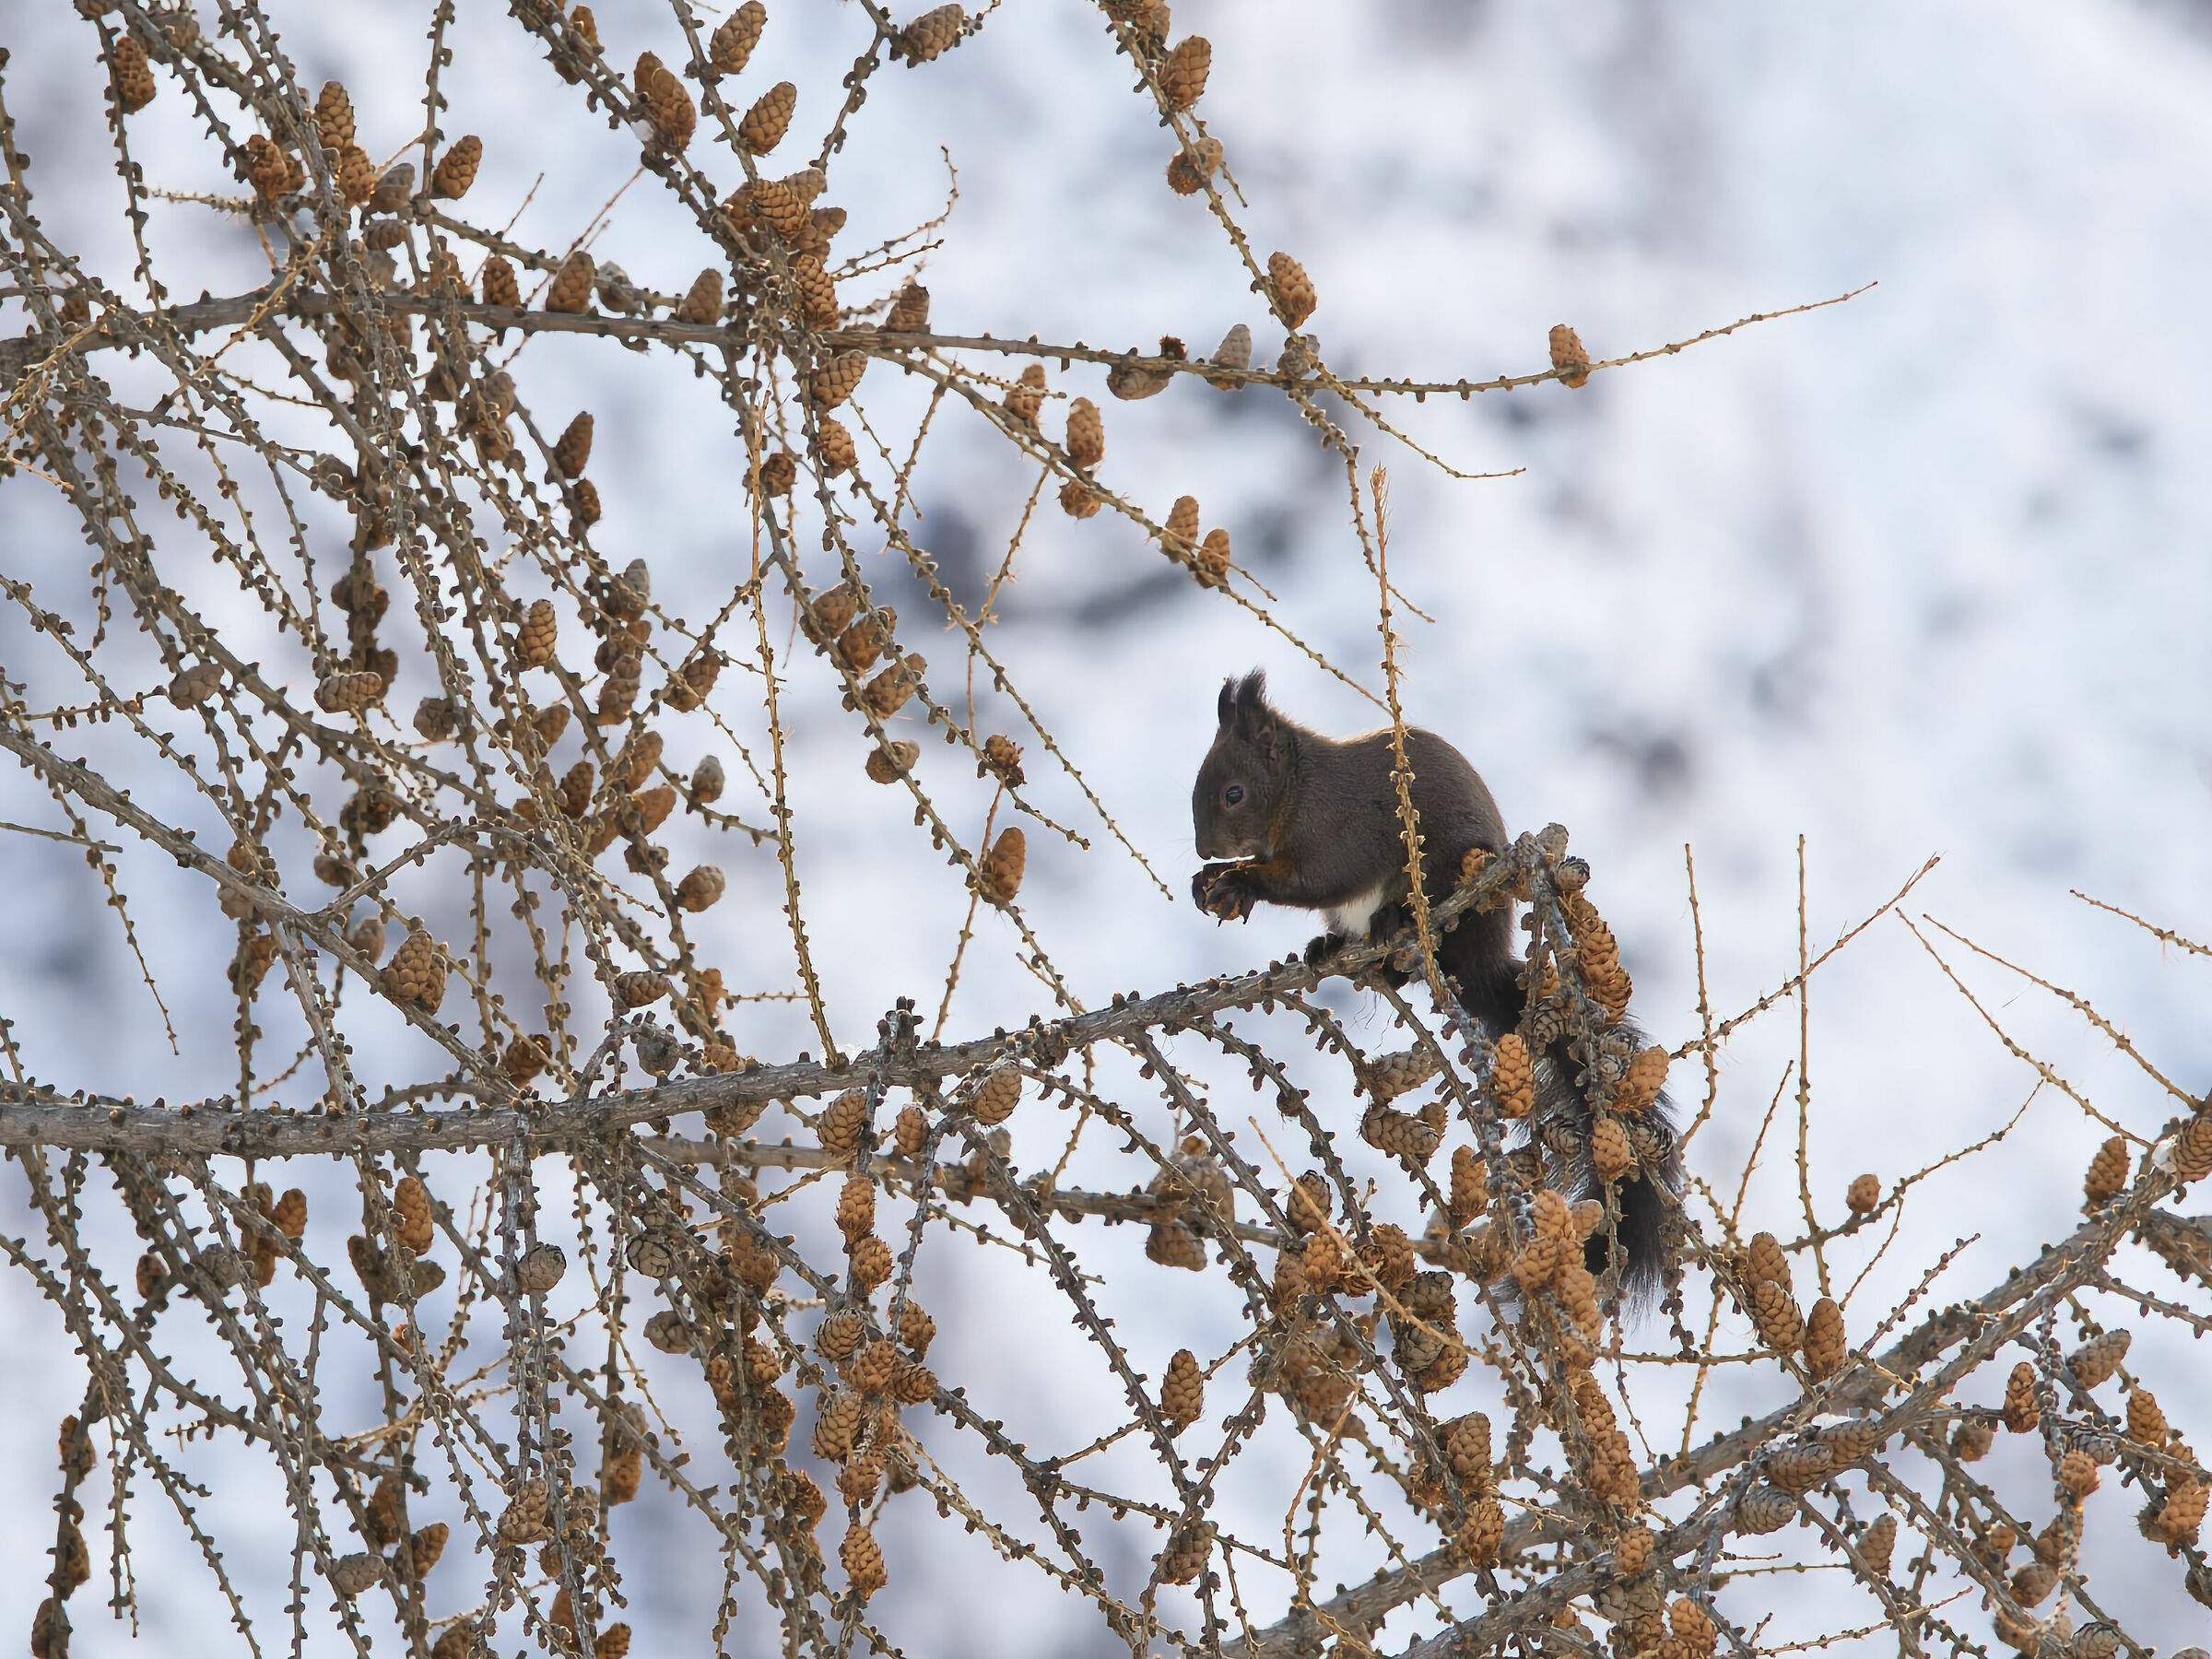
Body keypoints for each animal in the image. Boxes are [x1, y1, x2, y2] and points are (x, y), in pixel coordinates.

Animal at [1190, 670, 1680, 1303]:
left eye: (1234, 793)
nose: (1203, 850)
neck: (1298, 791)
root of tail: (1482, 965)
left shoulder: (1337, 833)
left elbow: (1311, 879)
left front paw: (1239, 879)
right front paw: (1208, 881)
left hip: (1450, 894)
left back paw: (1390, 926)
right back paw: (1330, 949)